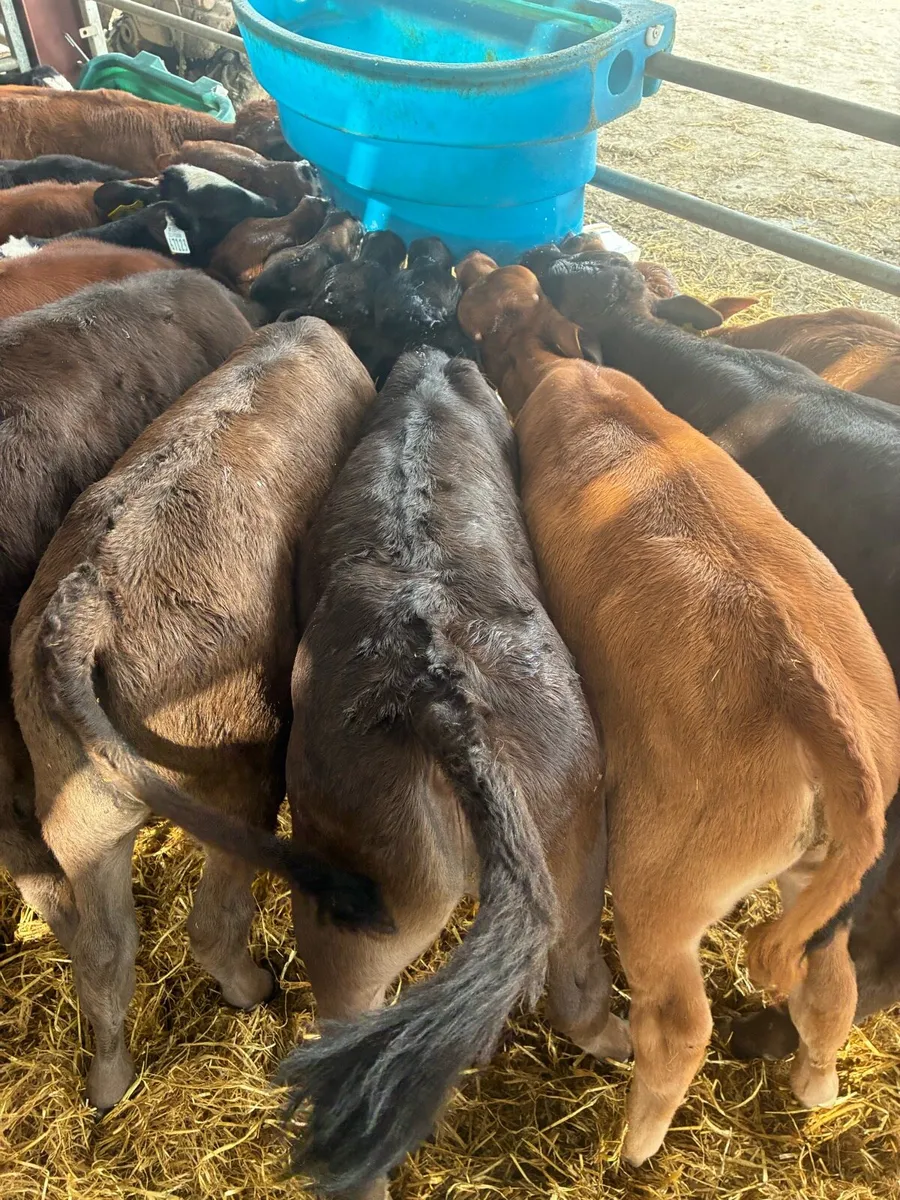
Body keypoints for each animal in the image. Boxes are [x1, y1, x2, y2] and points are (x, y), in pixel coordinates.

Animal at [11, 318, 380, 1113]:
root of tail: (85, 613)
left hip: (79, 814)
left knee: (103, 951)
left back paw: (108, 1084)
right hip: (236, 763)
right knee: (211, 922)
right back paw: (253, 988)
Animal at [456, 259, 900, 1166]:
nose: (471, 262)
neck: (563, 370)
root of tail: (824, 714)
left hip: (664, 884)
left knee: (680, 1025)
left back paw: (637, 1144)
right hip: (821, 882)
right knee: (831, 985)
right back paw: (815, 1087)